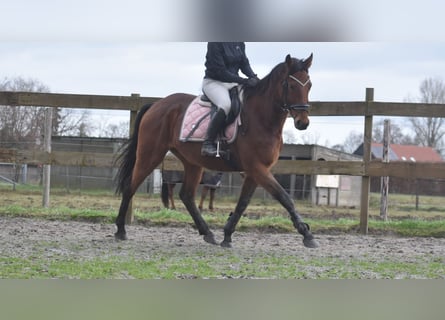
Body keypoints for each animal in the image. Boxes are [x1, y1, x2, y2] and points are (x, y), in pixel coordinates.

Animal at [112, 53, 318, 248]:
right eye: (291, 85)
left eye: (309, 86)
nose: (303, 123)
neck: (261, 119)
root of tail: (156, 105)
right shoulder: (257, 168)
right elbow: (284, 197)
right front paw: (307, 234)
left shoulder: (256, 171)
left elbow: (243, 203)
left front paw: (227, 235)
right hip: (150, 155)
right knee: (130, 186)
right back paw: (121, 230)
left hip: (192, 162)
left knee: (186, 195)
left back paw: (208, 233)